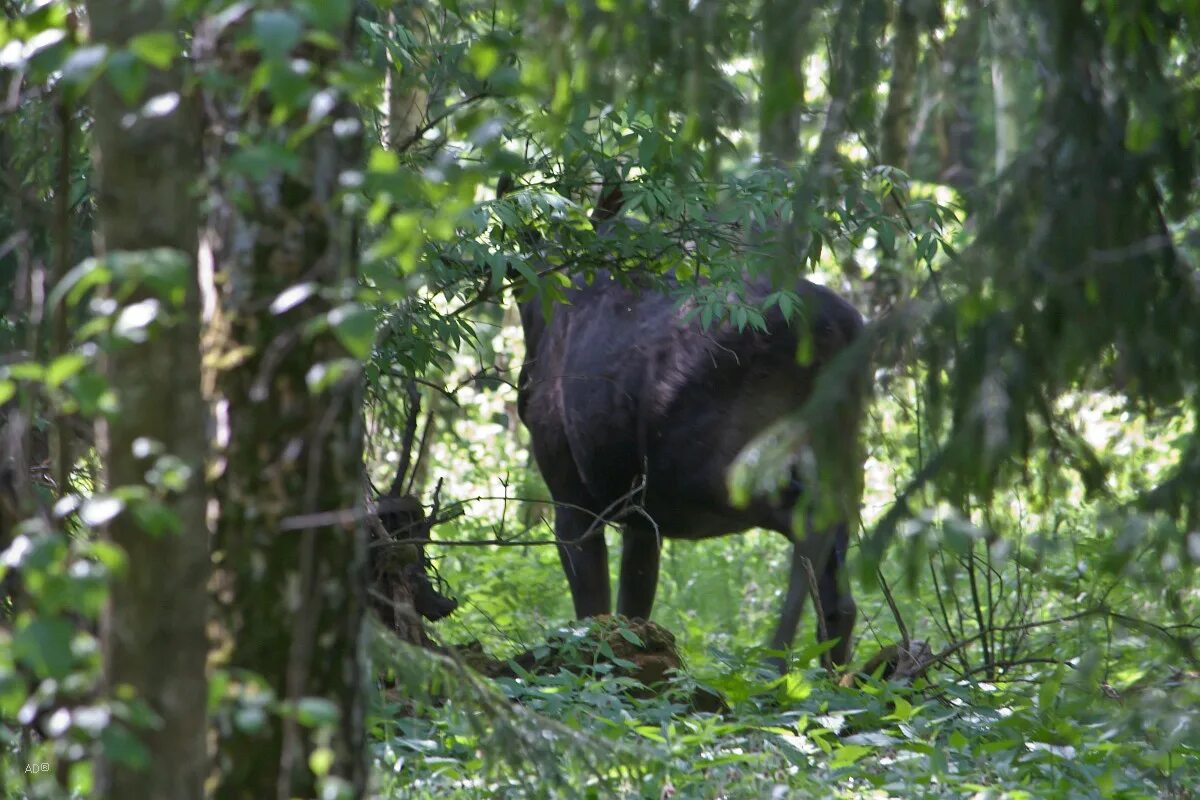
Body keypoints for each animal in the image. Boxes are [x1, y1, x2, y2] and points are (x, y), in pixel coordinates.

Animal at [511, 183, 868, 671]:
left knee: (808, 521)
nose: (524, 393)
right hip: (838, 450)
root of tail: (843, 331)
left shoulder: (572, 493)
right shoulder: (642, 513)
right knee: (838, 564)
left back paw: (775, 656)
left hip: (721, 465)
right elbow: (633, 605)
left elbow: (592, 608)